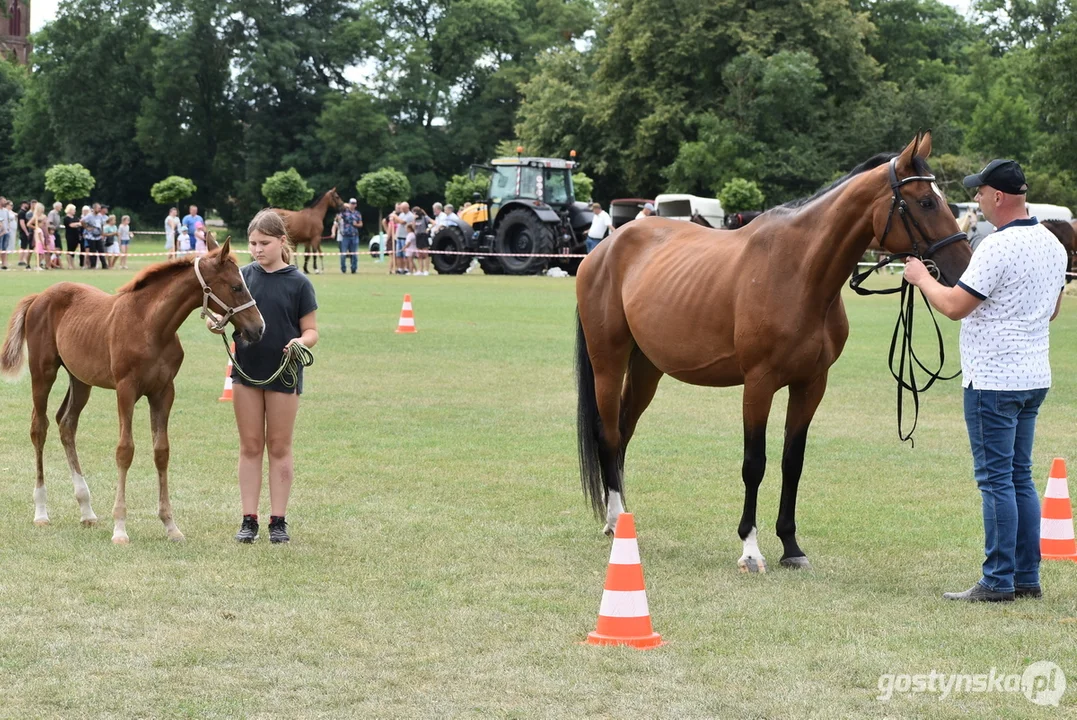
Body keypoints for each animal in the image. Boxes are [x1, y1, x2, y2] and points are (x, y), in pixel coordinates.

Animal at [1, 238, 262, 542]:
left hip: (81, 380)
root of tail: (39, 297)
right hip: (43, 373)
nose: (258, 328)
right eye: (236, 286)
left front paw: (171, 525)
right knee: (39, 427)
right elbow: (125, 450)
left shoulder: (164, 392)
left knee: (66, 424)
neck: (150, 325)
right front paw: (120, 528)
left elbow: (161, 451)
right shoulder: (125, 390)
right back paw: (41, 512)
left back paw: (86, 510)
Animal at [577, 131, 973, 568]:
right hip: (609, 363)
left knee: (624, 431)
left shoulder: (811, 384)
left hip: (647, 368)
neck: (798, 272)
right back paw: (615, 520)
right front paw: (750, 549)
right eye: (926, 202)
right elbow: (755, 463)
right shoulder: (759, 384)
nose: (964, 267)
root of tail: (605, 248)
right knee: (609, 433)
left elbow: (791, 462)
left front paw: (791, 546)